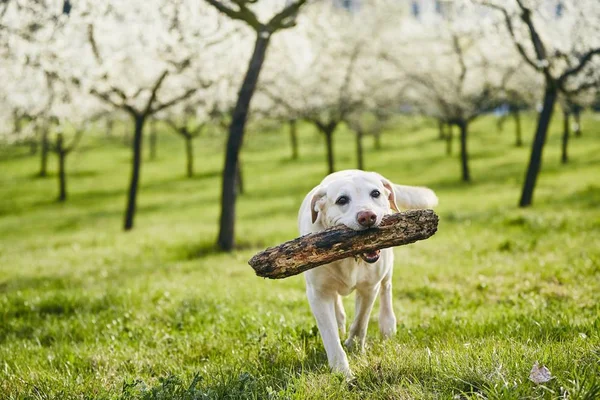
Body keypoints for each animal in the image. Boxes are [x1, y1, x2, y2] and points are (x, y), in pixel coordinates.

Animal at [298, 170, 438, 376]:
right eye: (342, 200)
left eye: (375, 193)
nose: (367, 217)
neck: (350, 257)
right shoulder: (317, 294)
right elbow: (330, 336)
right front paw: (343, 372)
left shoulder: (369, 287)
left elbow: (360, 321)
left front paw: (354, 346)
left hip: (387, 267)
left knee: (386, 289)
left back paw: (388, 326)